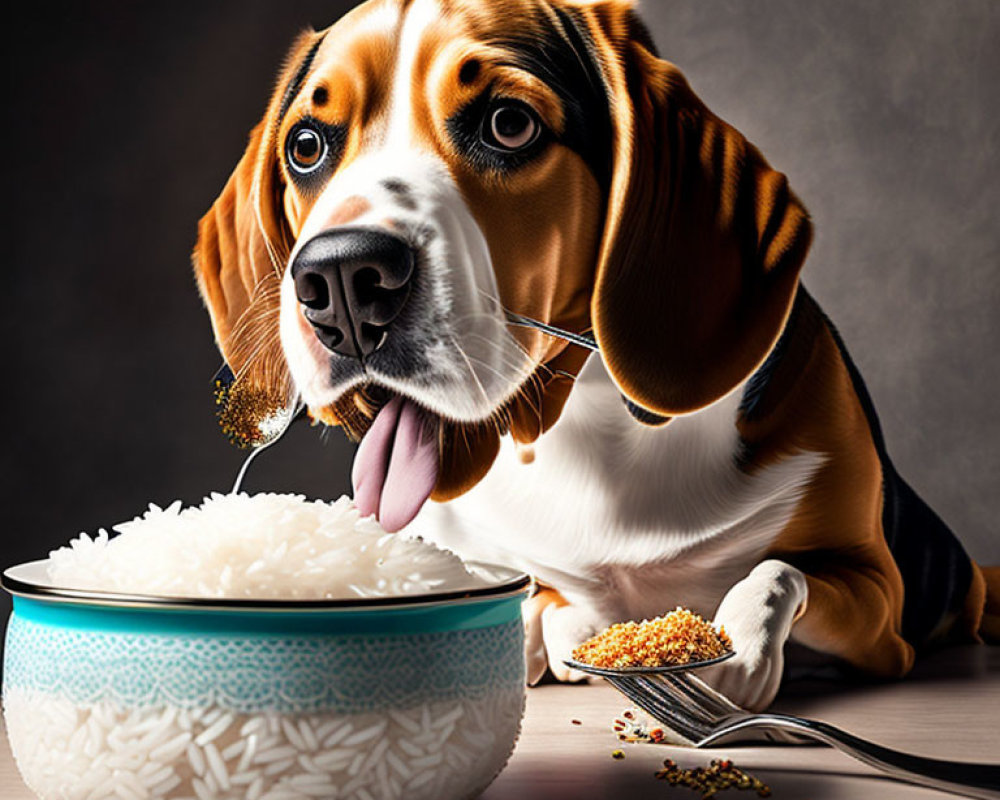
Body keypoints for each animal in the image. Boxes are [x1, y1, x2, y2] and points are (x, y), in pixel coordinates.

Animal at [191, 0, 996, 712]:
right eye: (306, 147)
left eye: (508, 124)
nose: (342, 281)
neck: (598, 429)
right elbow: (536, 591)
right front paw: (557, 628)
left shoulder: (877, 599)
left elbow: (777, 571)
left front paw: (733, 654)